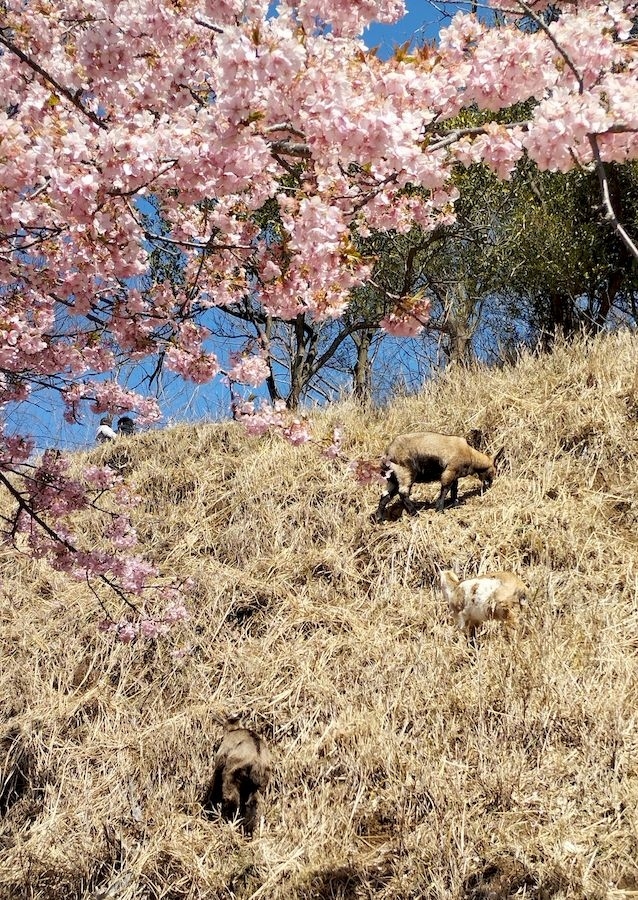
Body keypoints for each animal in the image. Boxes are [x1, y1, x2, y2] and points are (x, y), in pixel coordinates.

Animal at [376, 434, 504, 520]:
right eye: (493, 471)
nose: (490, 485)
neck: (470, 455)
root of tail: (387, 454)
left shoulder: (455, 475)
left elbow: (454, 489)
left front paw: (455, 503)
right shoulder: (449, 471)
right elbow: (445, 489)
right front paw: (440, 509)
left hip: (393, 479)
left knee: (385, 495)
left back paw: (379, 518)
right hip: (406, 472)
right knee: (403, 493)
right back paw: (415, 513)